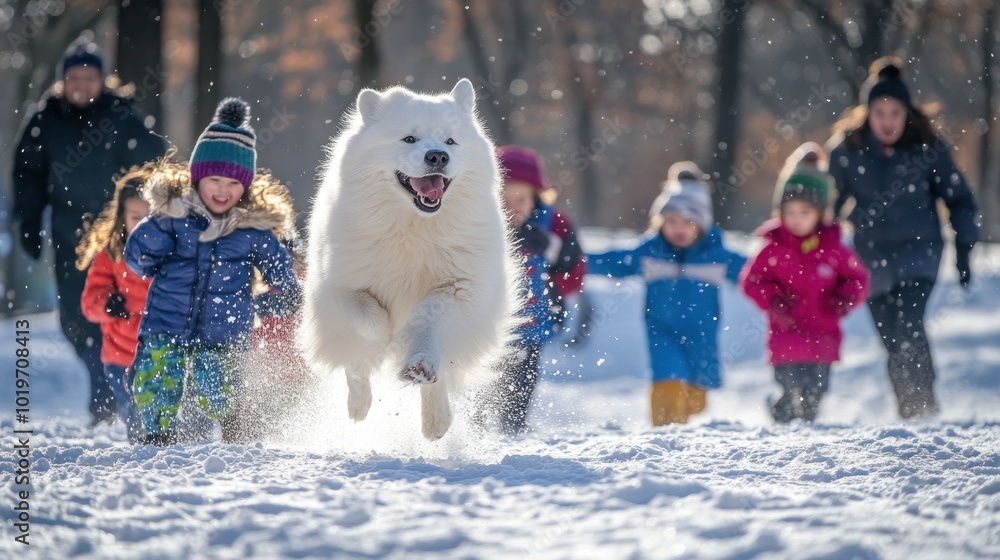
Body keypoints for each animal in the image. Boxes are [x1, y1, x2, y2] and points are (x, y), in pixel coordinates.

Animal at [302, 76, 524, 440]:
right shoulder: (342, 284)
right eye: (409, 138)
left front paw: (415, 360)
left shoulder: (459, 290)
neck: (415, 229)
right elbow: (367, 318)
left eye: (450, 141)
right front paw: (386, 338)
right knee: (355, 365)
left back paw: (435, 422)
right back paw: (359, 407)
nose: (438, 156)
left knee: (437, 377)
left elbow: (427, 320)